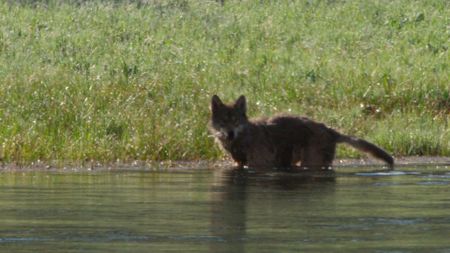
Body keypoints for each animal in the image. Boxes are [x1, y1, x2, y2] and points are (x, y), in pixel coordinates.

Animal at [208, 95, 394, 170]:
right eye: (223, 122)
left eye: (235, 121)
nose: (230, 133)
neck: (242, 139)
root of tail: (330, 129)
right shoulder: (240, 164)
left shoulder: (259, 164)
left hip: (311, 162)